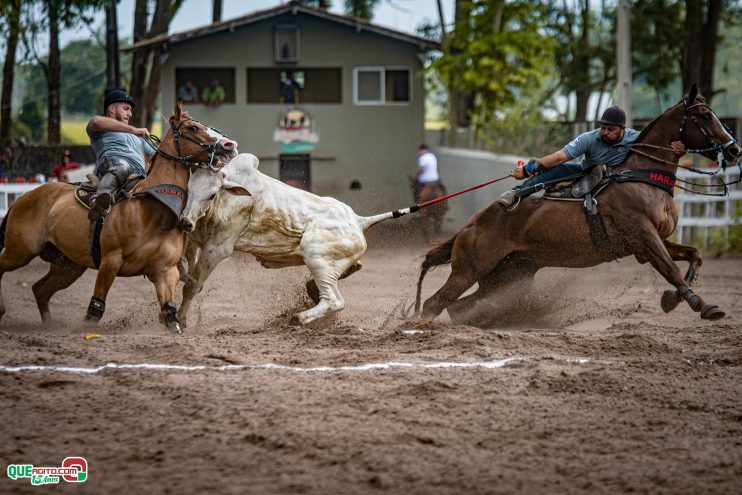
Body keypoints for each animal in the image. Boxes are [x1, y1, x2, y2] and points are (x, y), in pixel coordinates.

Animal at [0, 102, 237, 332]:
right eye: (193, 128)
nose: (230, 144)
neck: (152, 208)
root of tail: (23, 198)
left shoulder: (166, 271)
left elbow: (170, 314)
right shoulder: (110, 262)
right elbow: (95, 308)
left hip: (68, 266)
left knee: (40, 290)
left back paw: (48, 325)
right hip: (19, 251)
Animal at [179, 153, 402, 328]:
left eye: (212, 195)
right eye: (188, 189)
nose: (185, 222)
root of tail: (359, 220)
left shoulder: (217, 249)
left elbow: (192, 286)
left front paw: (179, 322)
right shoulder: (196, 241)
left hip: (316, 258)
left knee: (334, 301)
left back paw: (298, 318)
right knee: (353, 269)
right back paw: (312, 290)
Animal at [412, 84, 742, 326]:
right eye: (704, 115)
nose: (734, 149)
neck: (640, 176)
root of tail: (469, 225)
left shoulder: (653, 241)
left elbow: (694, 256)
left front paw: (674, 298)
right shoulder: (645, 238)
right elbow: (671, 268)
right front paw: (702, 305)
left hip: (508, 275)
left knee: (460, 306)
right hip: (469, 270)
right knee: (434, 303)